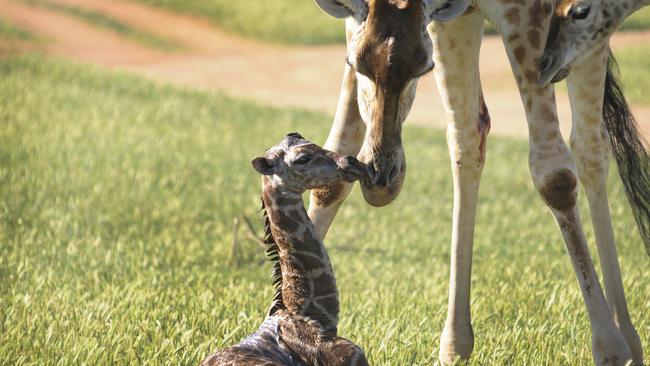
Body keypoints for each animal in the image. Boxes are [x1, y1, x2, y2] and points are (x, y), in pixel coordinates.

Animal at [306, 0, 644, 366]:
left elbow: (553, 175)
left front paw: (610, 347)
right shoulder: (441, 21)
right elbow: (336, 159)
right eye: (354, 63)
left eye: (424, 68)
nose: (381, 179)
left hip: (589, 34)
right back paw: (456, 344)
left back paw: (628, 340)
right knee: (469, 137)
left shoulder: (532, 19)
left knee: (590, 145)